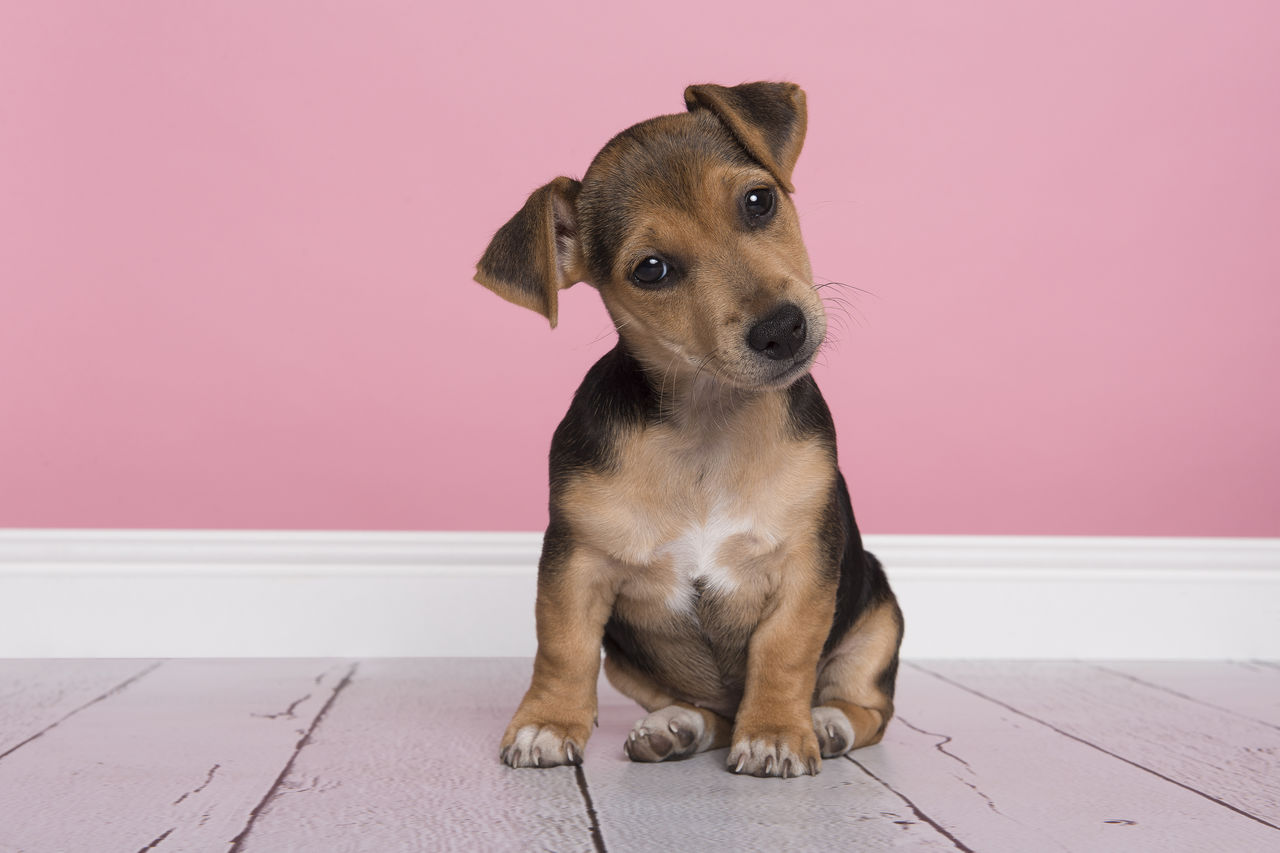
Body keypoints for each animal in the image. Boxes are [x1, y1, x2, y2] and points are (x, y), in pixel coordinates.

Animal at [476, 83, 906, 773]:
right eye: (651, 269)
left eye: (758, 201)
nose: (782, 329)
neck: (710, 420)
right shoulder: (575, 565)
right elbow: (562, 648)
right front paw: (548, 723)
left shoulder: (807, 568)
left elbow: (785, 653)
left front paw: (777, 731)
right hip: (629, 661)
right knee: (705, 711)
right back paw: (679, 726)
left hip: (879, 613)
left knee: (868, 708)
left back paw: (824, 722)